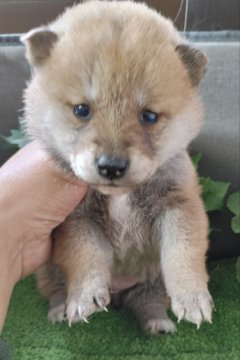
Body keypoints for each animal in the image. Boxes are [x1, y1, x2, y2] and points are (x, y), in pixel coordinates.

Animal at [22, 0, 213, 334]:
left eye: (149, 116)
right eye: (81, 110)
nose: (111, 166)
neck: (120, 195)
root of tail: (120, 290)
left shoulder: (180, 204)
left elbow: (183, 252)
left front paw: (193, 298)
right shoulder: (76, 219)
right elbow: (85, 256)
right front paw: (84, 297)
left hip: (152, 279)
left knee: (146, 299)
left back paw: (158, 323)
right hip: (48, 270)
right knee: (56, 289)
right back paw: (59, 310)